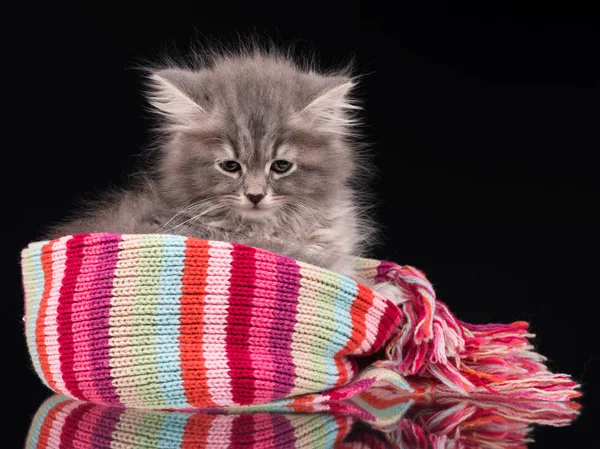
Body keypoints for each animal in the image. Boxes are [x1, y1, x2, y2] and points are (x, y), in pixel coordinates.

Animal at [49, 46, 400, 300]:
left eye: (281, 166)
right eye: (230, 166)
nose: (255, 195)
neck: (278, 227)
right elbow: (331, 269)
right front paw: (383, 290)